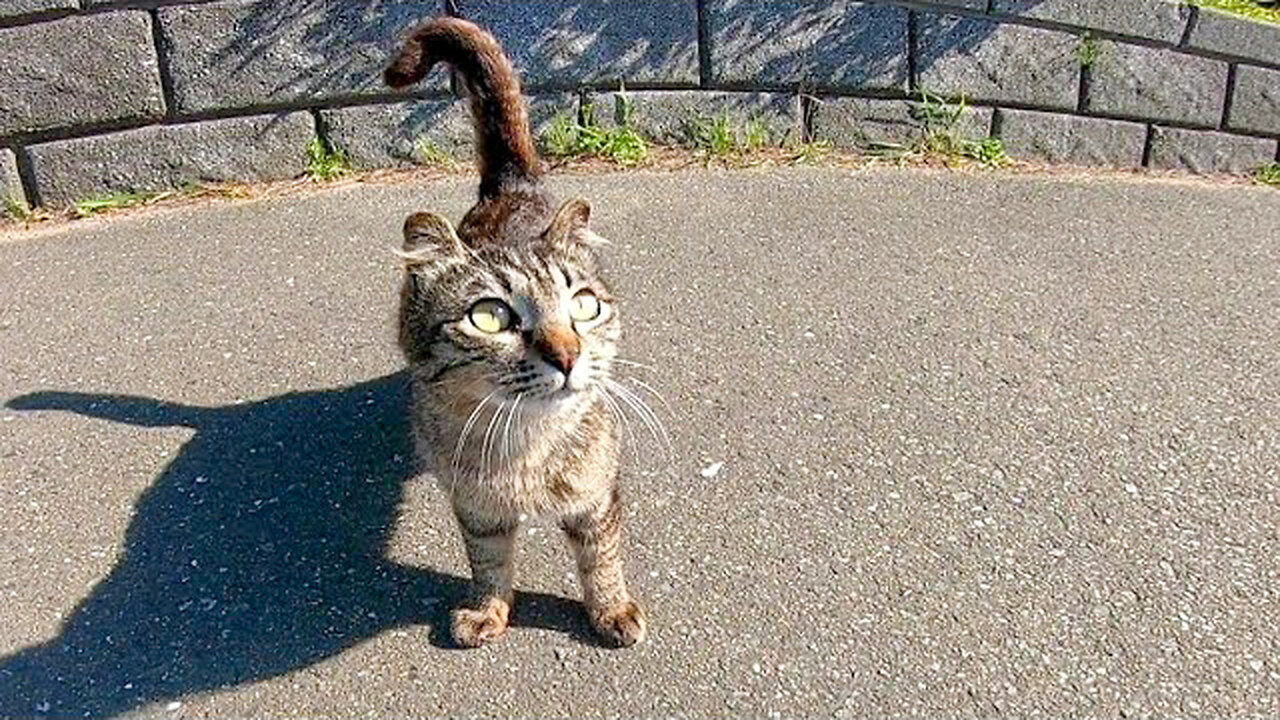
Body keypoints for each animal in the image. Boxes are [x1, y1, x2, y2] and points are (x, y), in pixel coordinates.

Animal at [376, 16, 640, 645]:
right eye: (490, 316)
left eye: (583, 306)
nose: (567, 355)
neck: (526, 447)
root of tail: (511, 185)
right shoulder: (474, 506)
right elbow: (488, 560)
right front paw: (488, 610)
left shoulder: (597, 494)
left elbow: (601, 556)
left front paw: (611, 610)